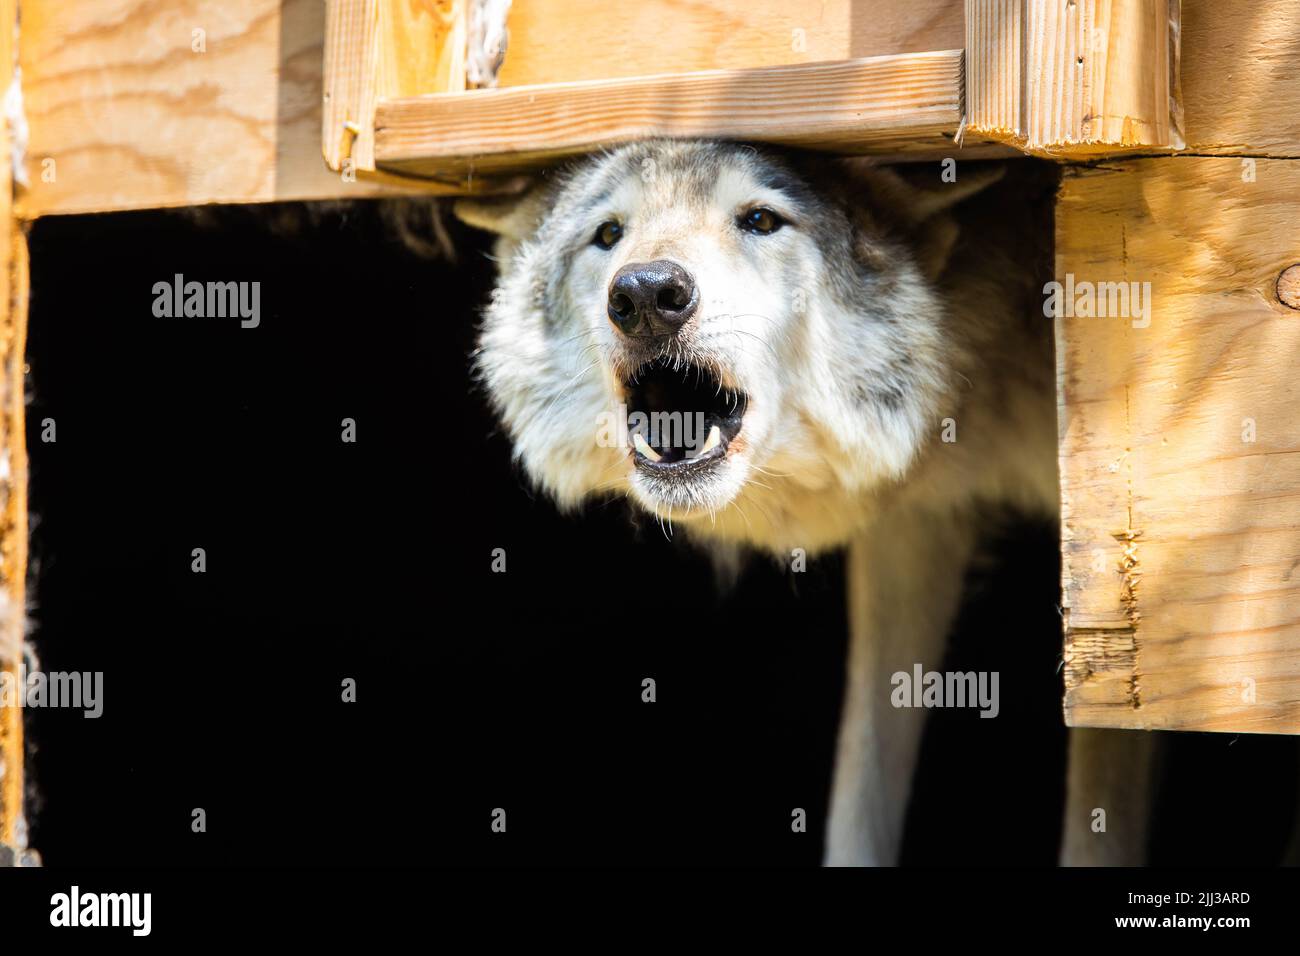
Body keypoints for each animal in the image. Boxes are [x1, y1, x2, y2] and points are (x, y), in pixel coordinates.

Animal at [455, 139, 1156, 866]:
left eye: (760, 220)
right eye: (608, 234)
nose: (648, 292)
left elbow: (1107, 762)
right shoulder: (913, 529)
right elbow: (863, 774)